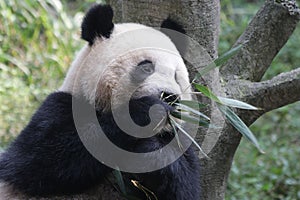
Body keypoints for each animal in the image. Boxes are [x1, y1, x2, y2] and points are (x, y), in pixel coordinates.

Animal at [0, 3, 202, 200]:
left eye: (176, 76)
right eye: (146, 67)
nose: (170, 97)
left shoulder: (178, 139)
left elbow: (185, 185)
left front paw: (154, 151)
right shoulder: (61, 106)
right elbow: (38, 159)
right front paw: (149, 111)